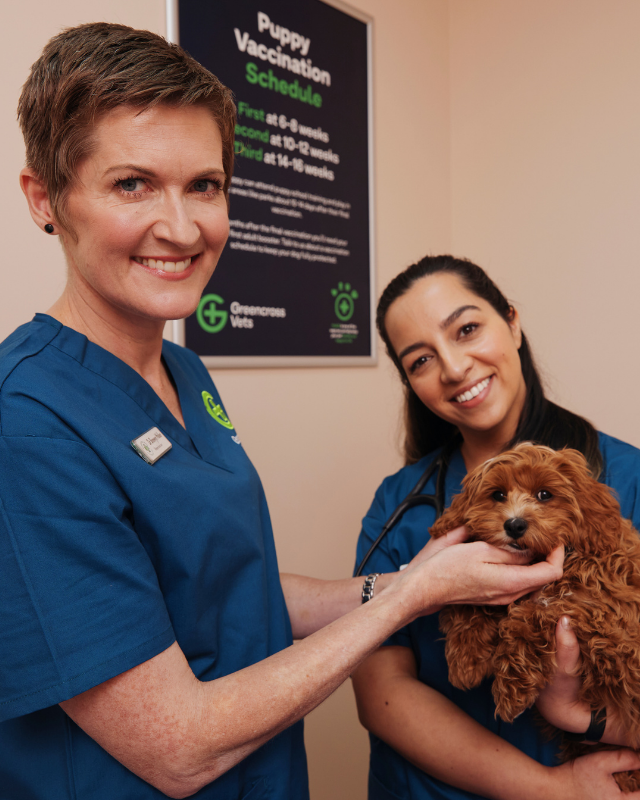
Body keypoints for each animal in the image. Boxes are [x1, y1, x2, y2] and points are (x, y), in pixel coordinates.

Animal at [428, 444, 640, 788]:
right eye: (498, 494)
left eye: (544, 494)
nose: (514, 525)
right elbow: (470, 602)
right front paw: (466, 660)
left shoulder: (610, 621)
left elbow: (537, 611)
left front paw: (511, 689)